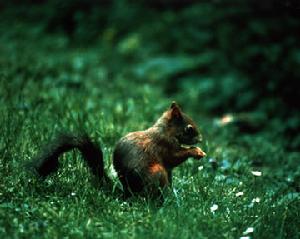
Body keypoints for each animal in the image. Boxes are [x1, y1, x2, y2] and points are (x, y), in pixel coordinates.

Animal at [30, 102, 206, 198]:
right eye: (189, 129)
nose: (201, 139)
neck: (165, 131)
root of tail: (127, 194)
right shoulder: (164, 145)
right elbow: (174, 157)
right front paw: (196, 151)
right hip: (156, 173)